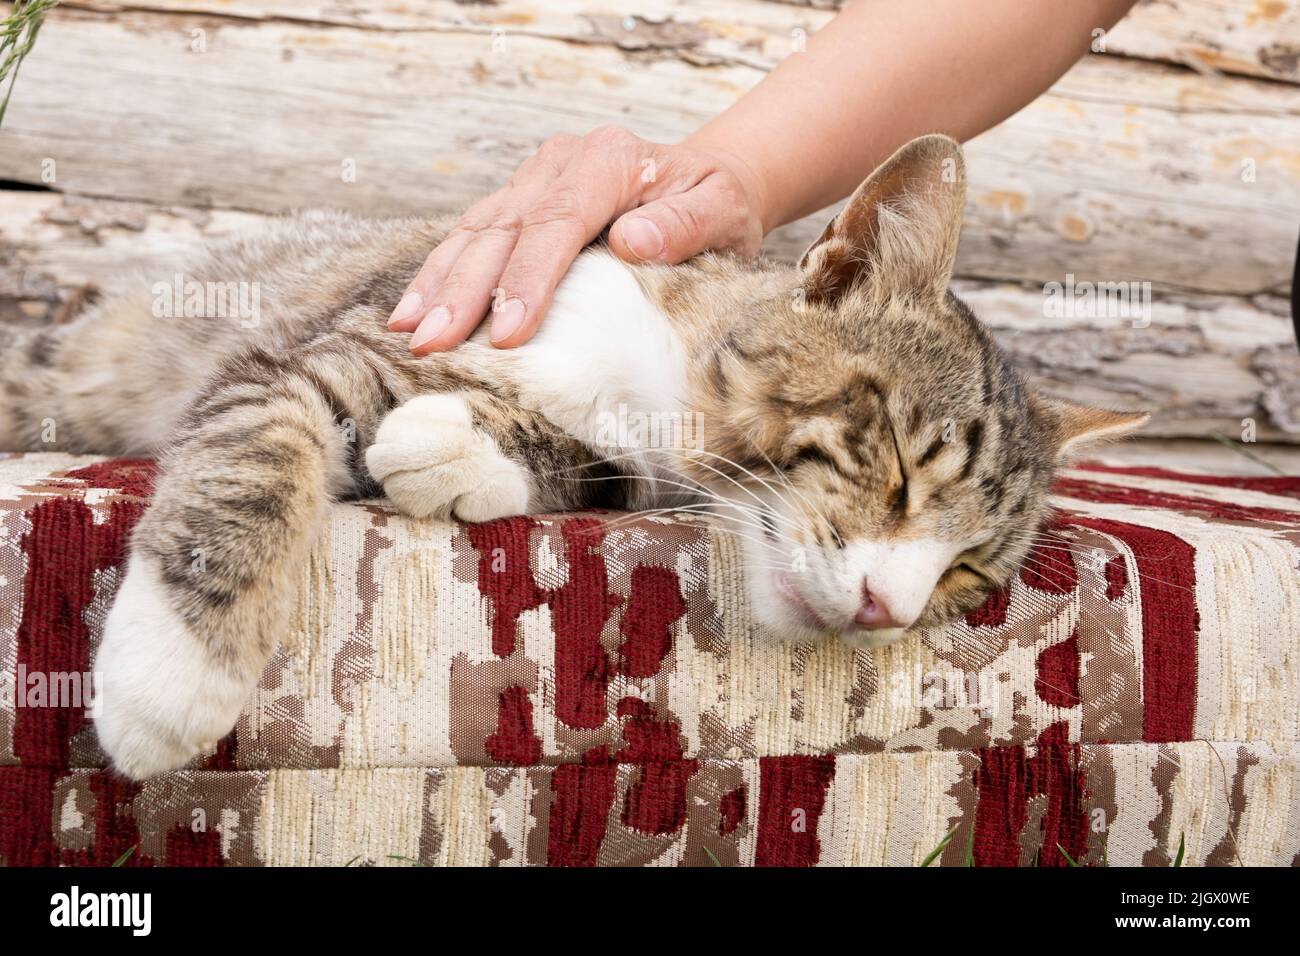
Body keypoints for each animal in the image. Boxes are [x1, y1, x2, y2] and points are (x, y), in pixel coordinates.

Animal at [0, 134, 1138, 780]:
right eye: (900, 469)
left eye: (965, 574)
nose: (885, 609)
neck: (651, 380)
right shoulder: (330, 348)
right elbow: (250, 461)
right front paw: (170, 675)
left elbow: (575, 460)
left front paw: (460, 451)